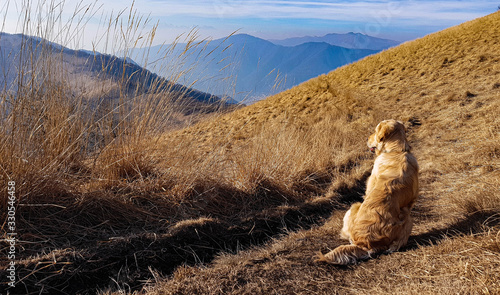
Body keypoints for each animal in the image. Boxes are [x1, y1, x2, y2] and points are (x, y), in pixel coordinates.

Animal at [316, 120, 418, 266]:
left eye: (375, 131)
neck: (396, 151)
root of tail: (365, 245)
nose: (366, 139)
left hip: (356, 206)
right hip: (407, 218)